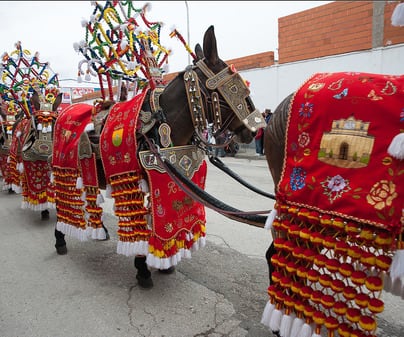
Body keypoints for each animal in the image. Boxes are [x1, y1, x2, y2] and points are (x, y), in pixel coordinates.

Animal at [51, 1, 266, 288]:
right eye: (236, 88)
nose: (256, 129)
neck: (158, 126)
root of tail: (61, 113)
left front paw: (166, 263)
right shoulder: (148, 177)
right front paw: (143, 268)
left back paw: (99, 230)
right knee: (60, 200)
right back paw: (60, 238)